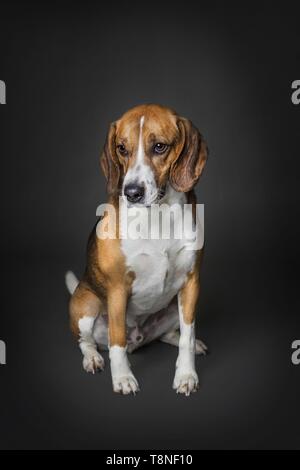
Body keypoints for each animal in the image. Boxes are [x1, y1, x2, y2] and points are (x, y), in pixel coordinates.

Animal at [65, 103, 209, 396]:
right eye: (121, 148)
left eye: (159, 147)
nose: (131, 192)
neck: (159, 214)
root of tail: (139, 338)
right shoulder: (118, 289)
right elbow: (117, 340)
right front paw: (122, 378)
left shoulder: (191, 283)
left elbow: (187, 336)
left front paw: (186, 375)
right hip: (86, 306)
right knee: (88, 342)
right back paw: (93, 358)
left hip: (172, 307)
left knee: (169, 334)